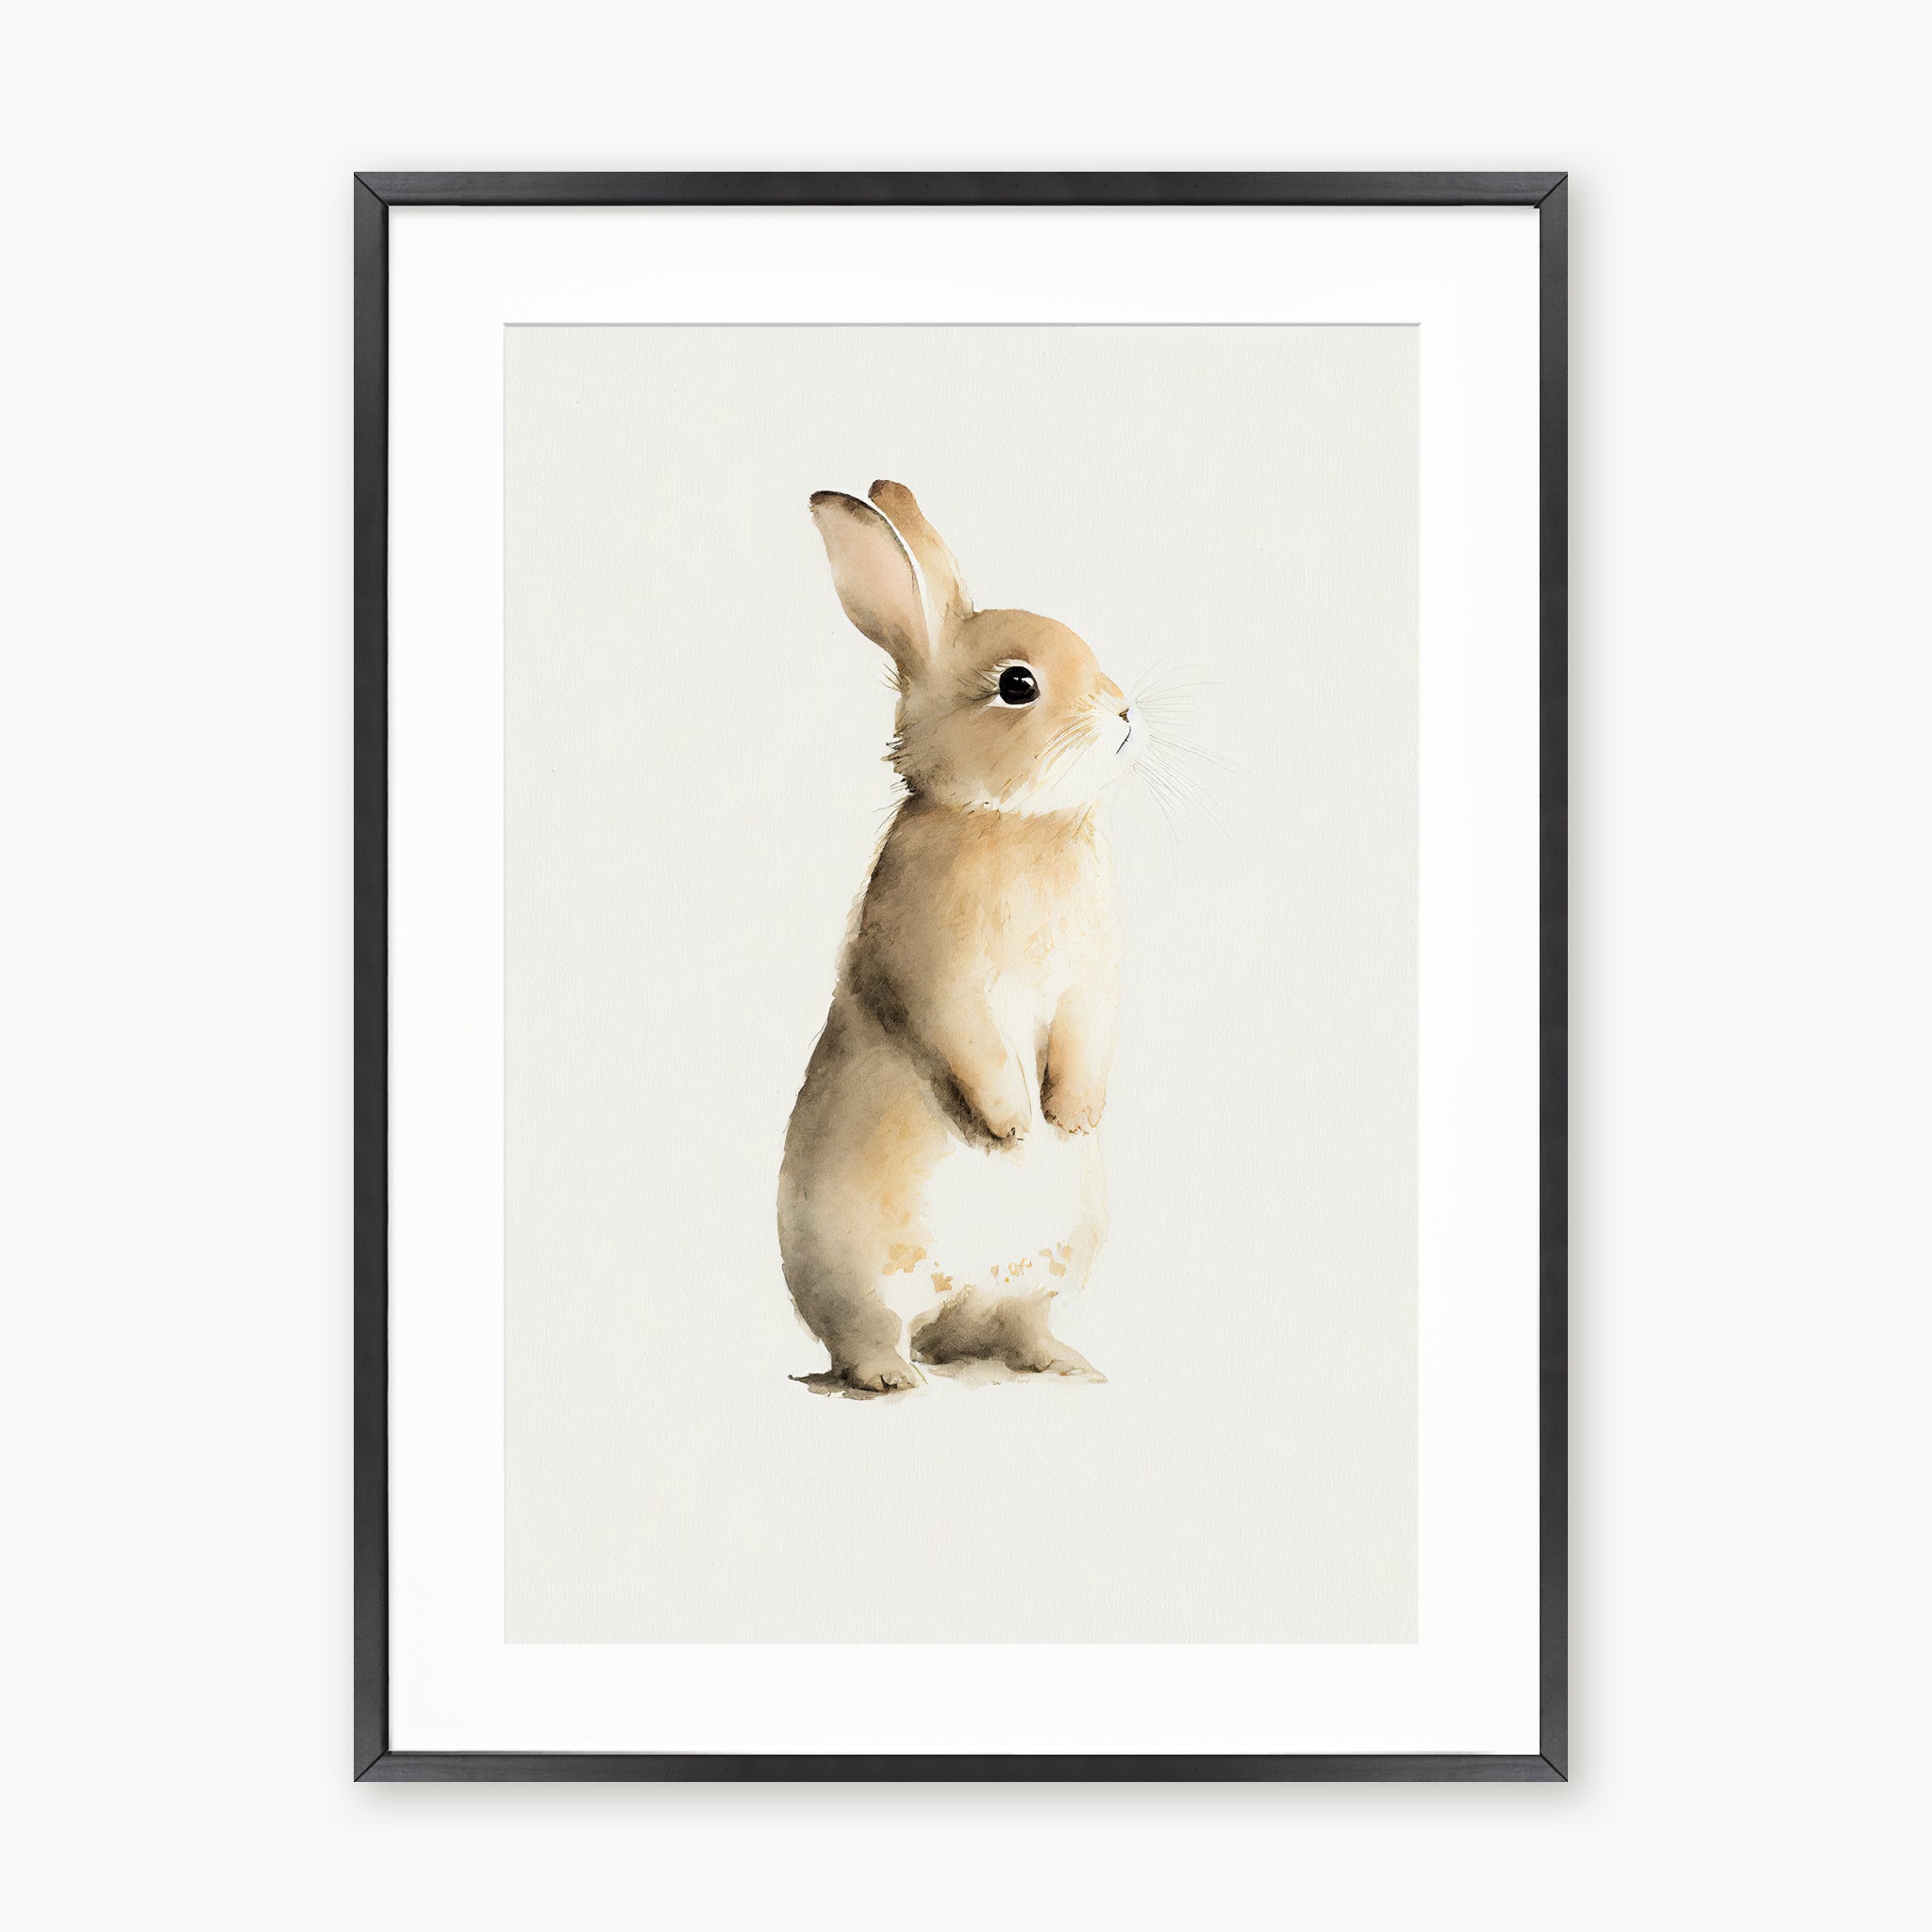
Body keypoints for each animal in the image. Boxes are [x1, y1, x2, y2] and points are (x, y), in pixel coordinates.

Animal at [779, 480, 1140, 1394]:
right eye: (1017, 684)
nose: (1125, 714)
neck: (1009, 822)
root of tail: (952, 1303)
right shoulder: (937, 975)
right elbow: (968, 1042)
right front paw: (1014, 1127)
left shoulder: (1091, 983)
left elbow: (1087, 1036)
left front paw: (1072, 1118)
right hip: (858, 1266)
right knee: (870, 1331)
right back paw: (890, 1379)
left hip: (1052, 1266)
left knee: (1012, 1325)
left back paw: (1064, 1365)